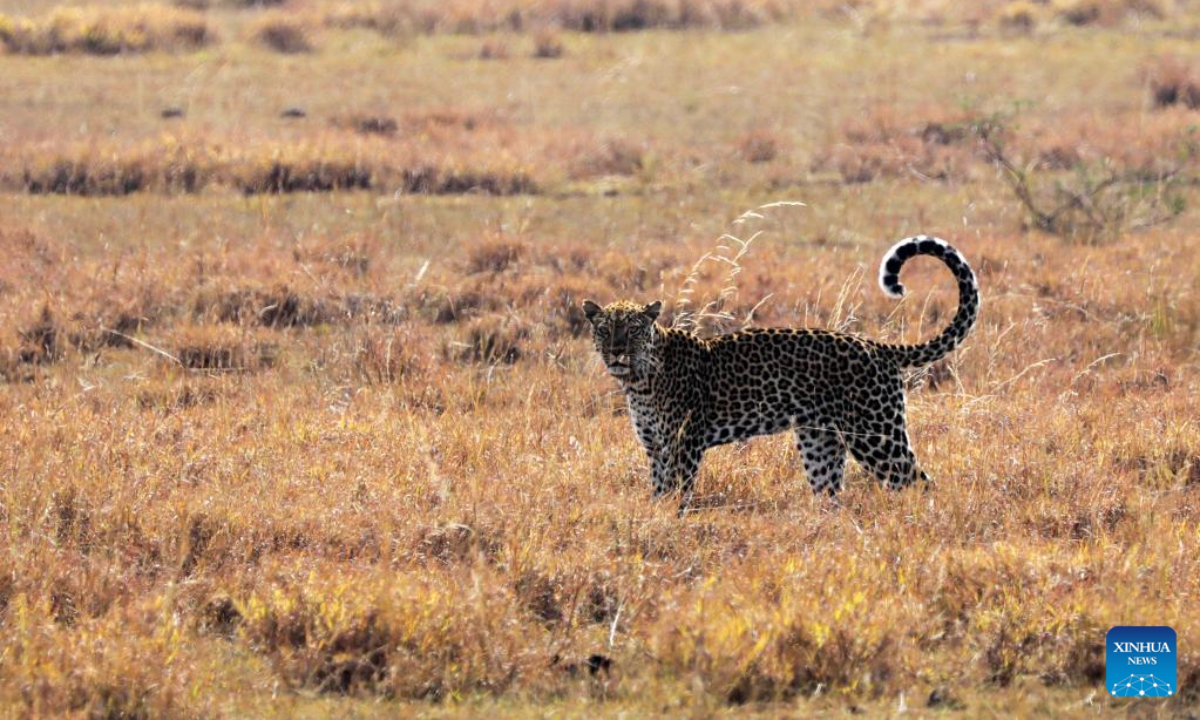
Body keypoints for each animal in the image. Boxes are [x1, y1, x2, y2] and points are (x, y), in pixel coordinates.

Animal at [581, 234, 979, 511]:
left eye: (633, 330)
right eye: (605, 329)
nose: (617, 352)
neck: (639, 381)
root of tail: (875, 345)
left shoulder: (684, 444)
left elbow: (678, 494)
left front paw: (670, 523)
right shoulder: (656, 448)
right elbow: (659, 492)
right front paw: (654, 517)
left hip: (876, 435)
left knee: (920, 482)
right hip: (820, 442)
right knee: (831, 494)